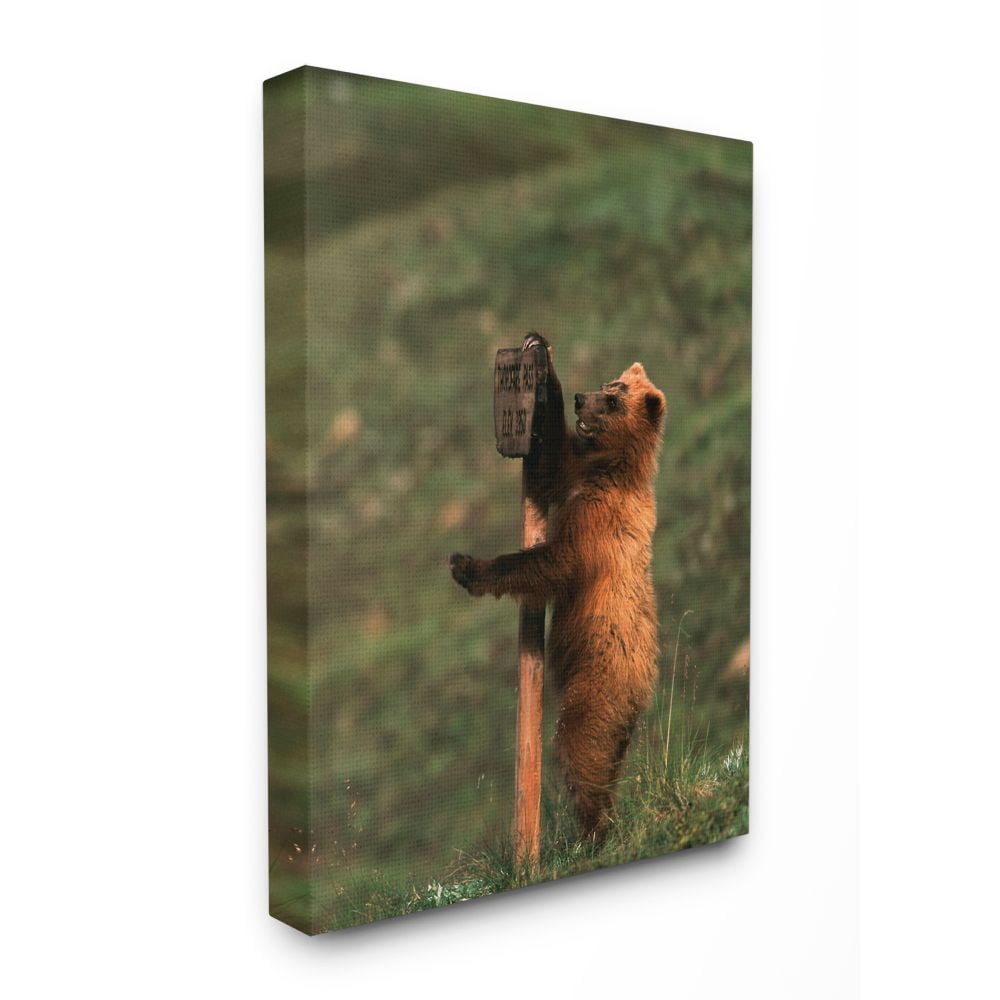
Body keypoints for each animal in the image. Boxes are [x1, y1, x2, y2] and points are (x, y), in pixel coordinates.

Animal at [450, 333, 666, 838]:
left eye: (615, 399)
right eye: (609, 382)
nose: (583, 398)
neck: (611, 470)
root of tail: (643, 690)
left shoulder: (597, 526)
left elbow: (552, 562)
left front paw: (468, 566)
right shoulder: (578, 474)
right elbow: (552, 460)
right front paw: (542, 359)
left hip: (598, 681)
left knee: (582, 746)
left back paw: (594, 827)